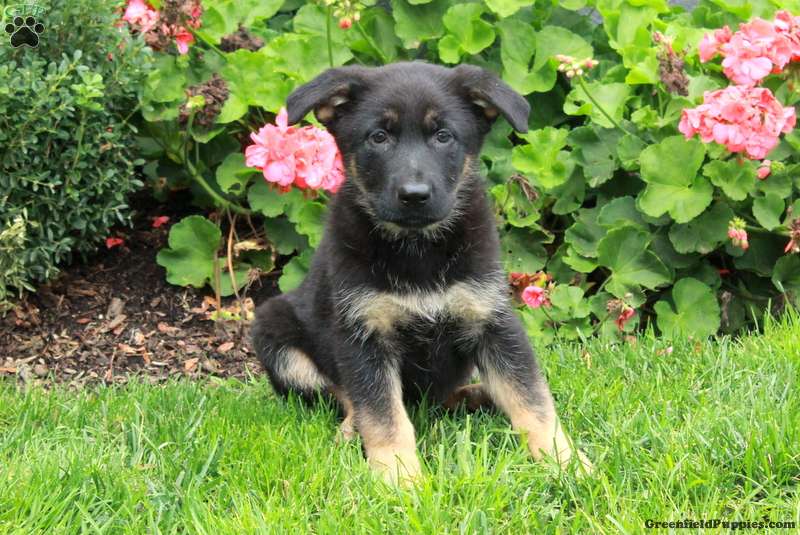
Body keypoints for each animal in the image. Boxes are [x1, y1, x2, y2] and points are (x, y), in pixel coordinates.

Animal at [251, 62, 590, 485]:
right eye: (379, 137)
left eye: (443, 136)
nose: (414, 195)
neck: (418, 249)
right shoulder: (363, 334)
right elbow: (382, 414)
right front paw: (399, 478)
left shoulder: (492, 320)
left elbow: (532, 399)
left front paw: (565, 461)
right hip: (274, 331)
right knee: (344, 394)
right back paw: (352, 429)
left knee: (442, 397)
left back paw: (478, 395)